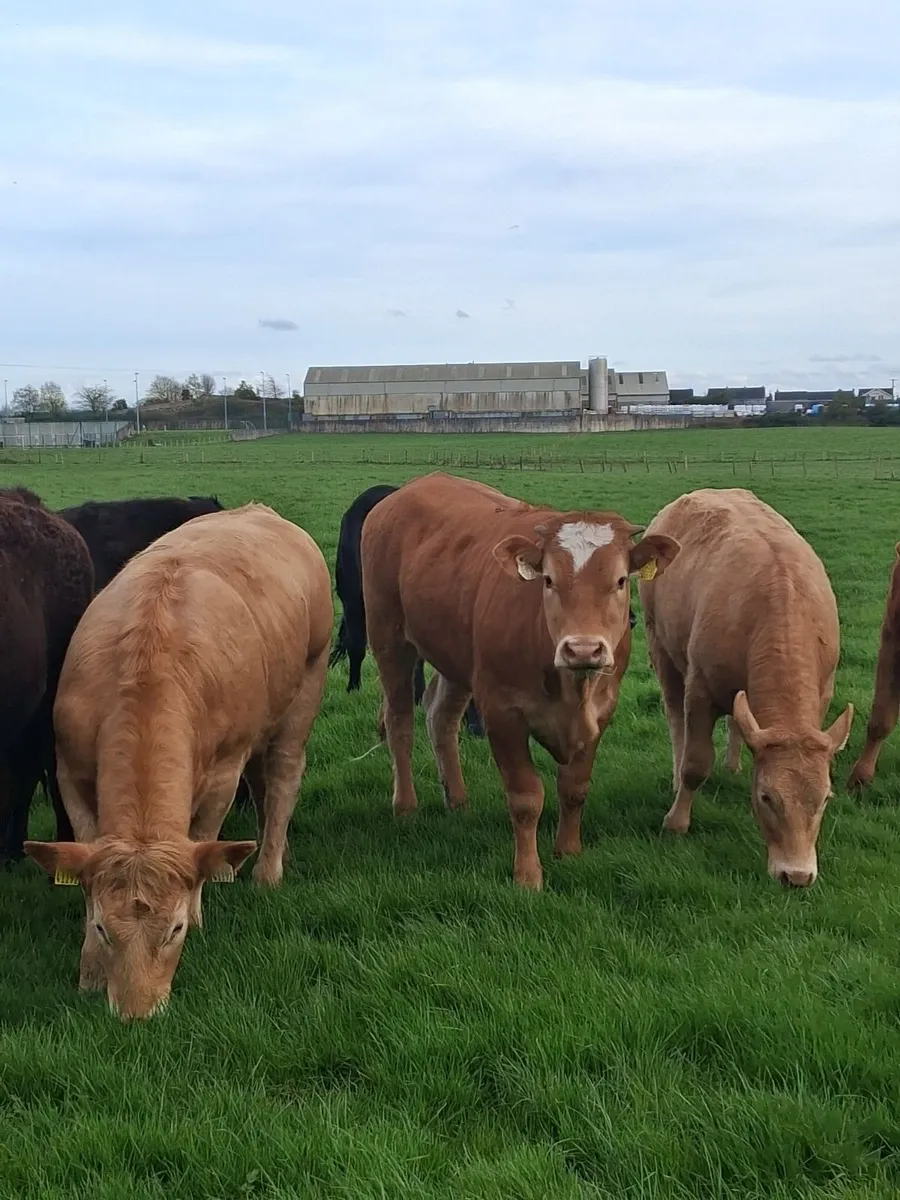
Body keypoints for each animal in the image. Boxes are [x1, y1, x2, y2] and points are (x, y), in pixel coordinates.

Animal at [24, 503, 333, 1020]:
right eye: (105, 928)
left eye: (176, 930)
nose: (136, 1014)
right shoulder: (71, 773)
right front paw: (89, 968)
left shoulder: (224, 771)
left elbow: (205, 833)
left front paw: (203, 912)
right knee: (264, 783)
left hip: (306, 687)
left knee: (284, 775)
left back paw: (268, 871)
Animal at [359, 471, 679, 889]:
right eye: (549, 580)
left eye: (622, 580)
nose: (583, 649)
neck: (571, 688)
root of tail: (404, 492)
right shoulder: (502, 714)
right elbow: (526, 798)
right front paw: (528, 874)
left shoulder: (601, 712)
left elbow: (574, 789)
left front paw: (568, 852)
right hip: (389, 638)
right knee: (400, 724)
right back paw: (406, 805)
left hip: (456, 656)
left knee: (441, 718)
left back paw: (457, 799)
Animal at [638, 487, 854, 888]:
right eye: (767, 798)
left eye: (825, 799)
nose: (796, 876)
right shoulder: (700, 689)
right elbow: (696, 763)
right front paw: (676, 821)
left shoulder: (821, 696)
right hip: (658, 641)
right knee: (674, 715)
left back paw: (734, 764)